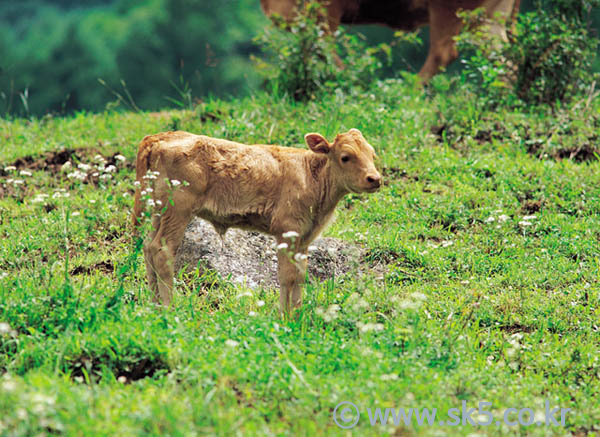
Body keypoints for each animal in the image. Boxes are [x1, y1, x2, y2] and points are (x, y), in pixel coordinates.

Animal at [134, 127, 382, 312]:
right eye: (345, 157)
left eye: (372, 155)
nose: (375, 179)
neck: (312, 176)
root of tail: (159, 137)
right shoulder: (286, 231)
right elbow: (287, 275)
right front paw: (285, 316)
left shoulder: (304, 237)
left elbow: (300, 274)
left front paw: (297, 313)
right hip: (178, 210)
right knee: (163, 250)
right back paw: (169, 307)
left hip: (159, 212)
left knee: (148, 247)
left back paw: (155, 306)